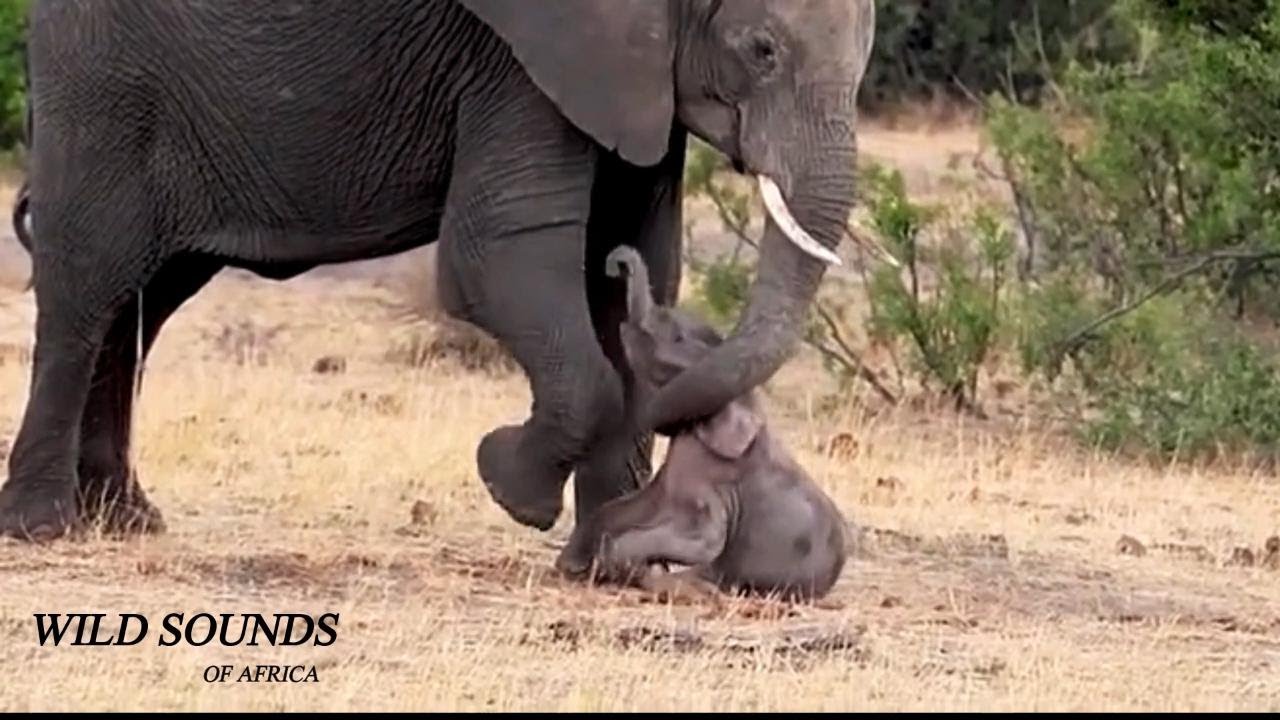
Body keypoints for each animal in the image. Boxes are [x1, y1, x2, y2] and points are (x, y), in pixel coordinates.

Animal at [1, 0, 885, 542]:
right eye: (761, 50)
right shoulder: (518, 63)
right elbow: (499, 252)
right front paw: (507, 481)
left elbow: (637, 249)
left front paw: (608, 549)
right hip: (106, 85)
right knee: (90, 284)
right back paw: (43, 526)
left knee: (145, 301)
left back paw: (126, 520)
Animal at [555, 247, 850, 601]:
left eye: (678, 337)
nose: (615, 263)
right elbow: (630, 506)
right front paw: (575, 565)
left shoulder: (718, 482)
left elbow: (706, 539)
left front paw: (617, 566)